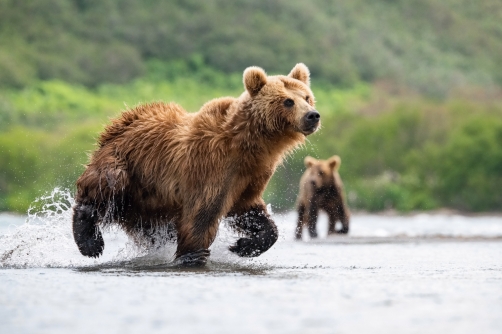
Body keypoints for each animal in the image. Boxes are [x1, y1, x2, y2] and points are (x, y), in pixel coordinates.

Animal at [72, 64, 320, 264]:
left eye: (307, 97)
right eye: (288, 101)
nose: (312, 115)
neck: (250, 145)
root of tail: (118, 124)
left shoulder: (251, 175)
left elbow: (248, 210)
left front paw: (243, 245)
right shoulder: (210, 165)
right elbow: (202, 212)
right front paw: (193, 255)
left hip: (149, 203)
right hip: (128, 164)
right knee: (107, 185)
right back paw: (90, 241)